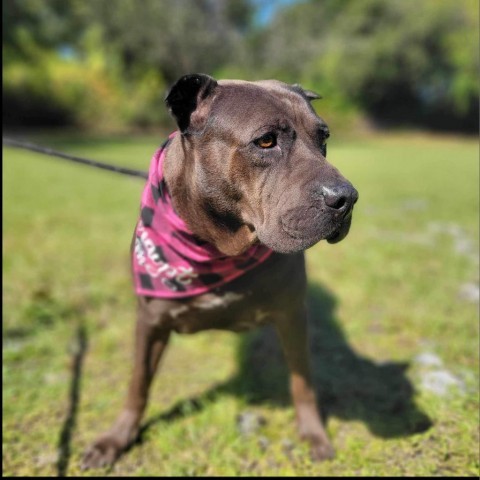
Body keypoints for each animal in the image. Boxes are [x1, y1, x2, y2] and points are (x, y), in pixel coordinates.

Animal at [82, 75, 358, 468]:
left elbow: (302, 380)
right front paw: (117, 438)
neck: (218, 250)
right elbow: (138, 383)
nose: (347, 198)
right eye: (266, 141)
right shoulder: (150, 321)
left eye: (323, 138)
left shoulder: (291, 314)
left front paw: (313, 434)